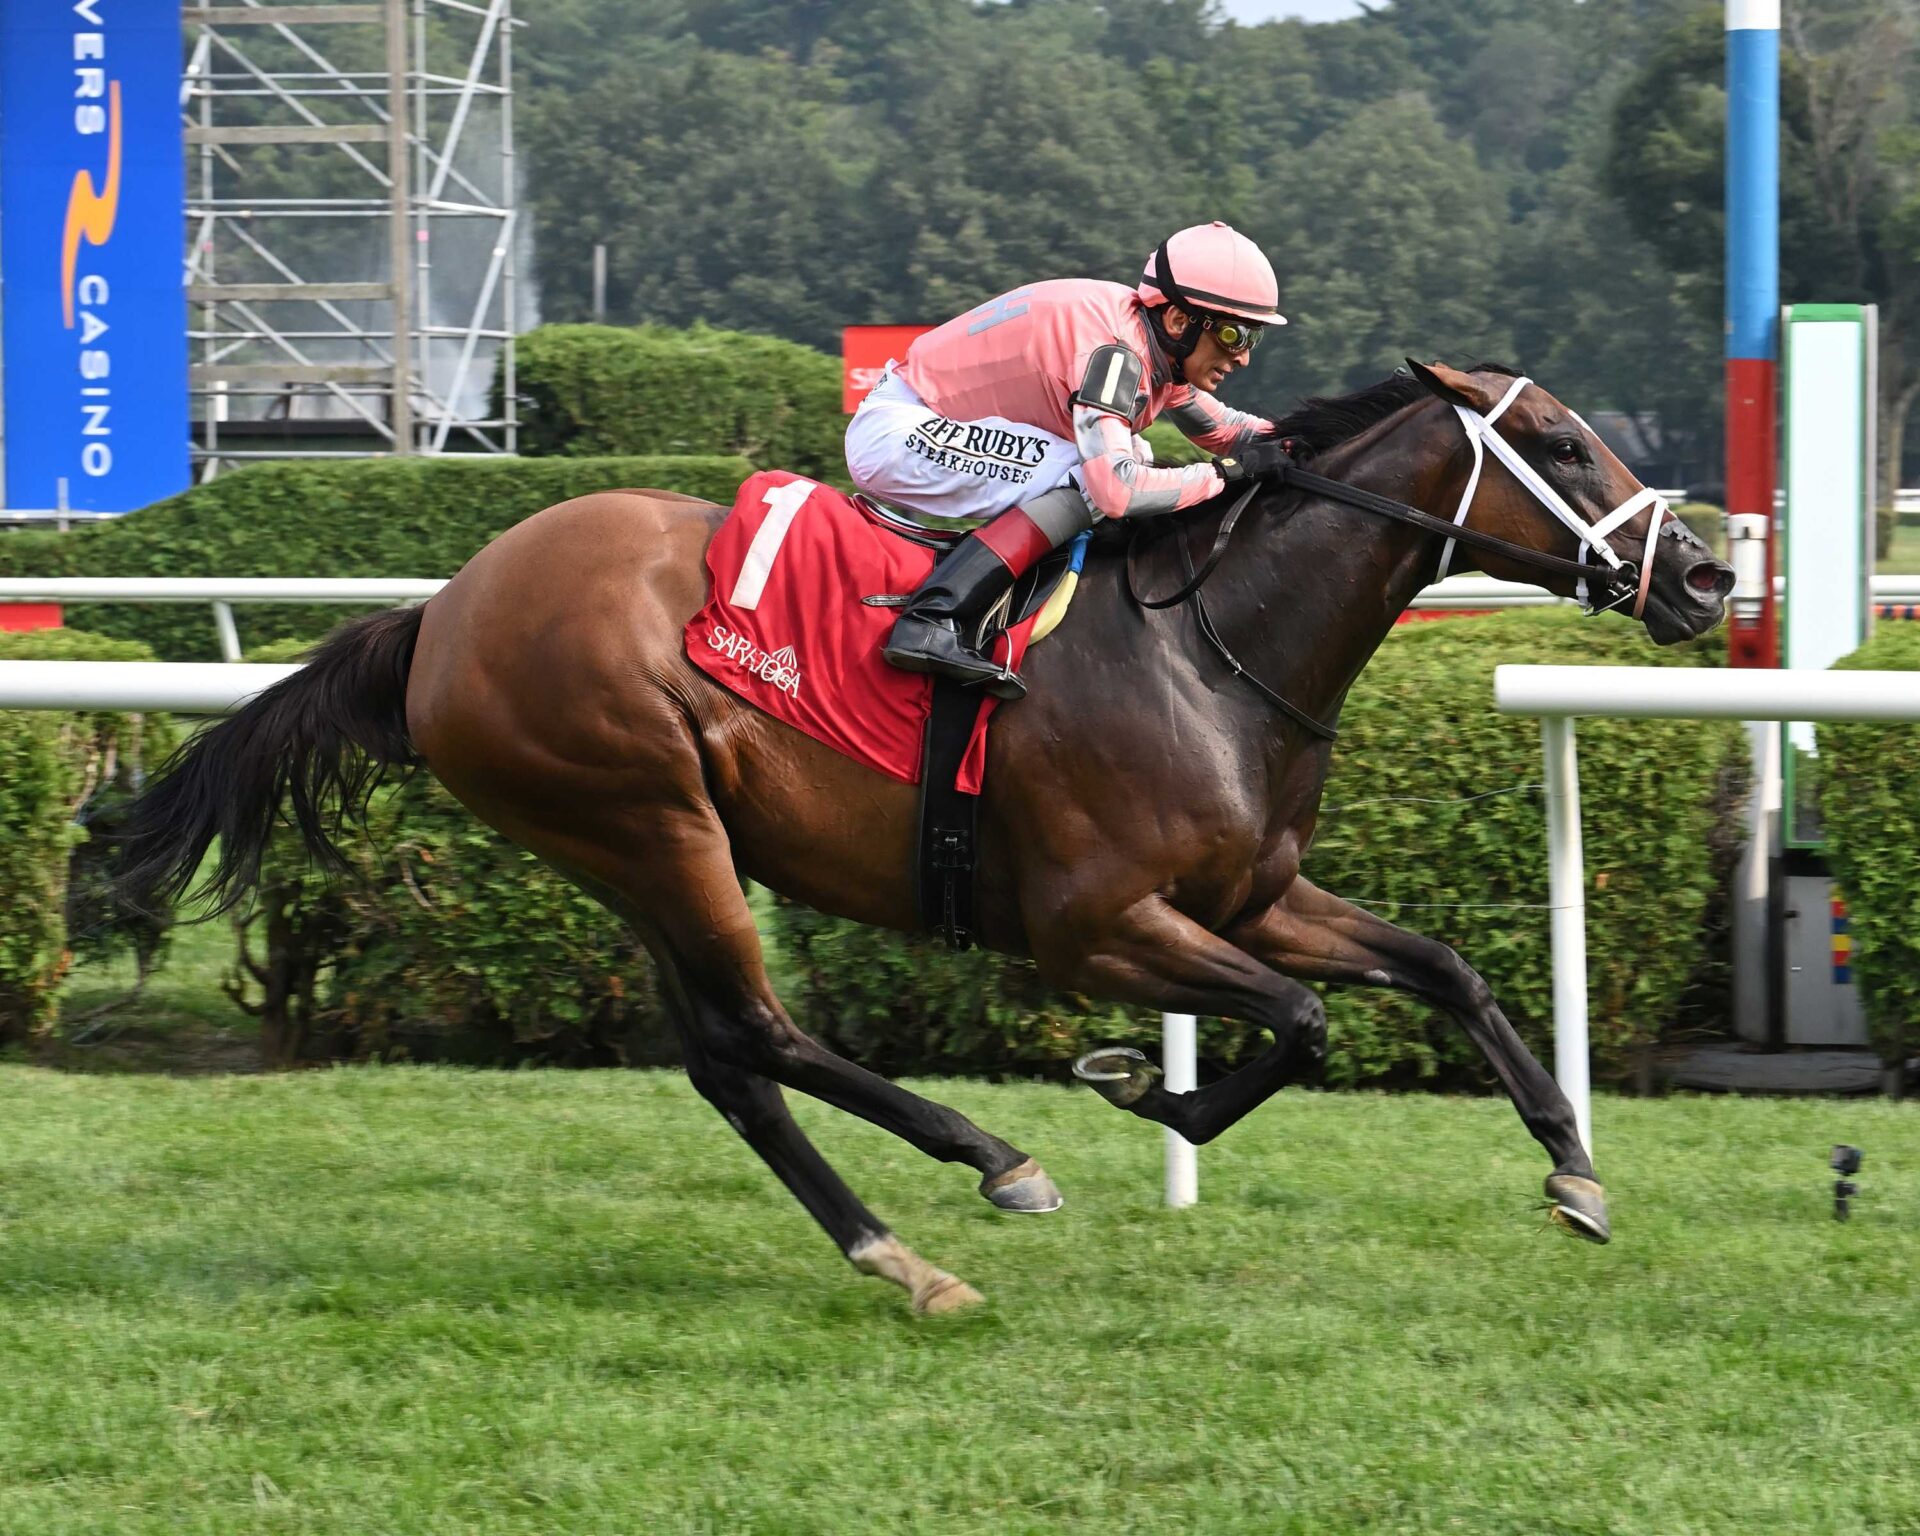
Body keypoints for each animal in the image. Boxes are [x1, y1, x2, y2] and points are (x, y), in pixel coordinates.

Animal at [115, 360, 1734, 1313]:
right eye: (1559, 442)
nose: (1710, 576)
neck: (1211, 648)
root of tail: (442, 608)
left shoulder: (1250, 896)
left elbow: (1443, 971)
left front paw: (1575, 1174)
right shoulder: (1099, 926)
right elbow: (1297, 1024)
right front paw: (1144, 1090)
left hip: (628, 846)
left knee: (727, 1061)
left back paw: (901, 1250)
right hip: (647, 813)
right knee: (760, 1032)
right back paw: (989, 1161)